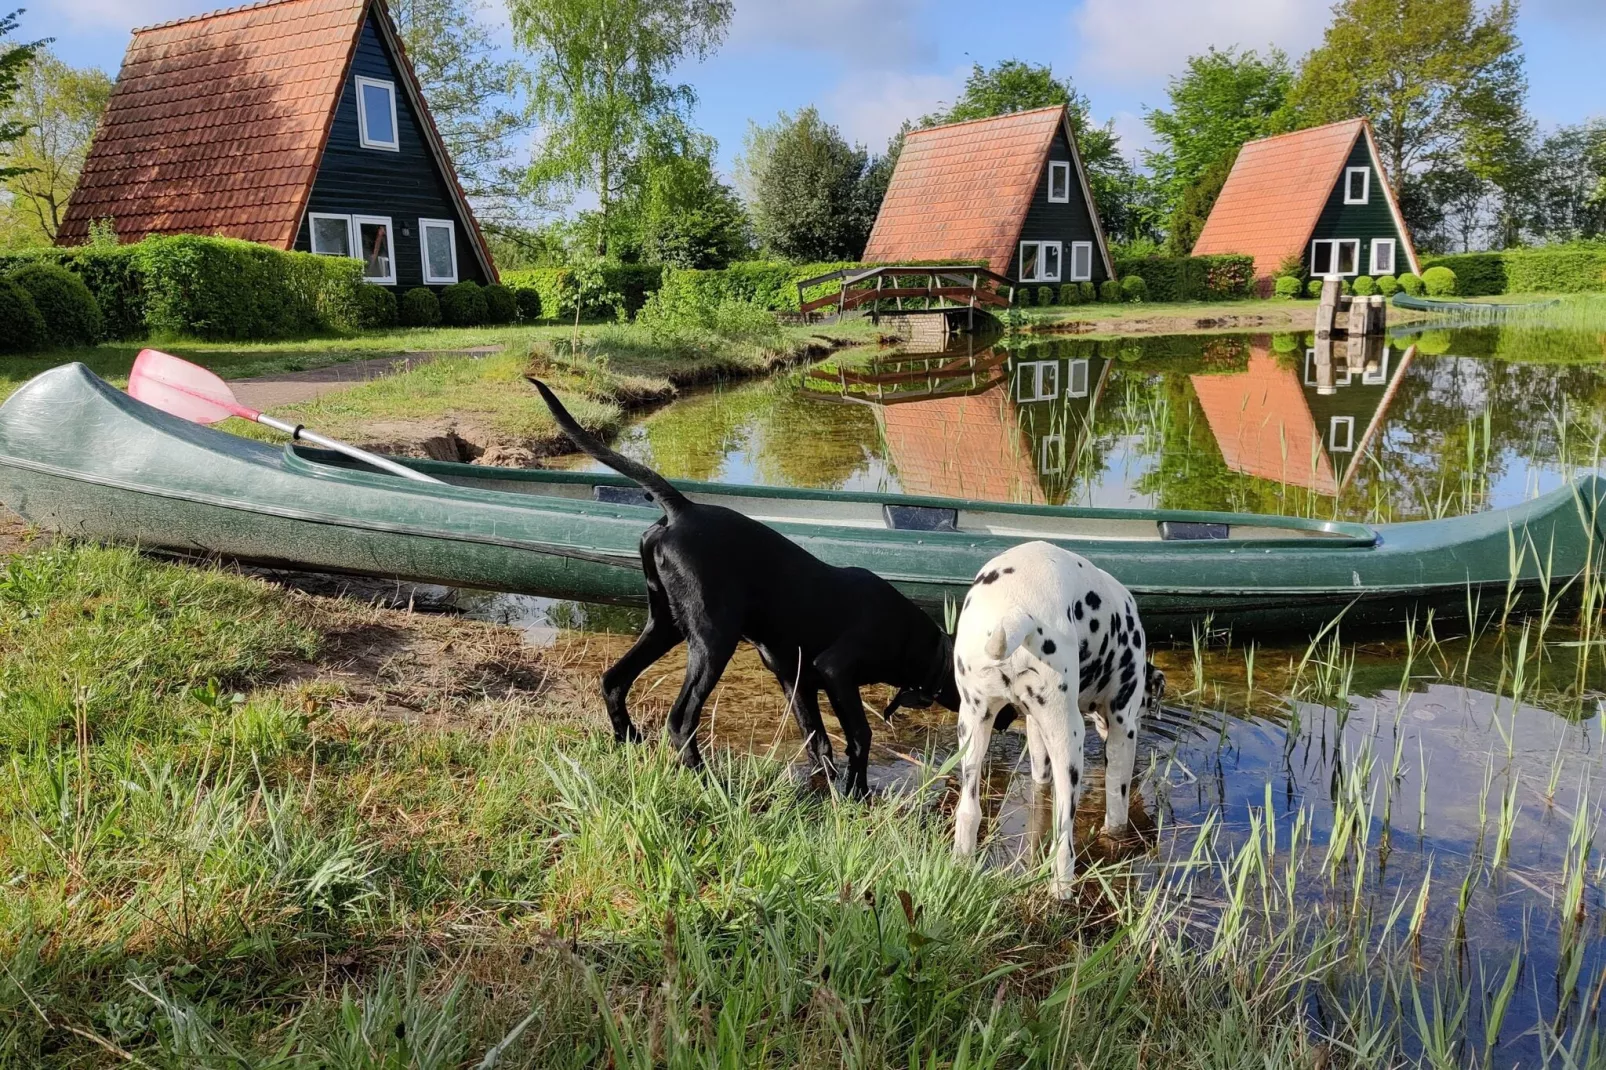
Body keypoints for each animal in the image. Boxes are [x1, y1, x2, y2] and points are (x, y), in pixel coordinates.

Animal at [529, 377, 950, 790]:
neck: (916, 639)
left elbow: (818, 740)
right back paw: (708, 782)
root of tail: (681, 510)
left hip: (666, 625)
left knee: (614, 680)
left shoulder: (796, 680)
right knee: (680, 720)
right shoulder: (836, 672)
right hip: (714, 641)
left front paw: (829, 786)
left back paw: (629, 742)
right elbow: (860, 736)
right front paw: (856, 794)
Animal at [944, 536, 1162, 893]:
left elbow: (1039, 782)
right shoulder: (1123, 731)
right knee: (1064, 838)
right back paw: (1063, 891)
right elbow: (1117, 808)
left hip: (973, 731)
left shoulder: (1035, 727)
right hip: (1069, 741)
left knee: (968, 813)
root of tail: (1014, 611)